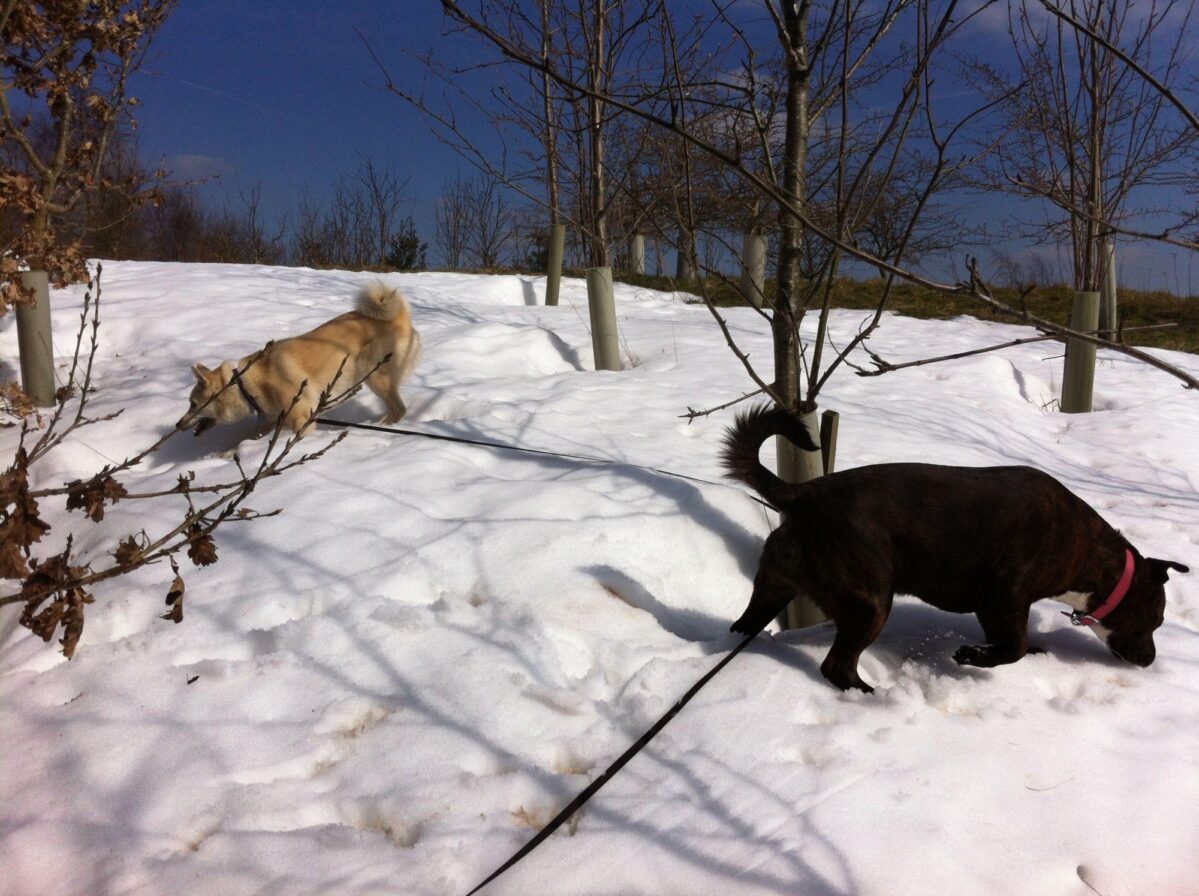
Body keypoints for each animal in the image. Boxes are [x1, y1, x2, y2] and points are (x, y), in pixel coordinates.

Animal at [175, 284, 422, 439]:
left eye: (193, 404)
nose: (177, 425)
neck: (246, 383)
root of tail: (400, 315)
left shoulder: (300, 419)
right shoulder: (270, 419)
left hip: (376, 375)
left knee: (399, 410)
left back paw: (379, 426)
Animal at [719, 405, 1189, 695]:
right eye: (1156, 621)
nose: (1150, 662)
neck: (1092, 557)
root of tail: (802, 495)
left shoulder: (996, 606)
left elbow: (1016, 643)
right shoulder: (1004, 594)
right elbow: (1013, 647)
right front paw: (973, 656)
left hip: (776, 582)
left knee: (745, 624)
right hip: (871, 600)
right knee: (836, 666)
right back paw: (871, 696)